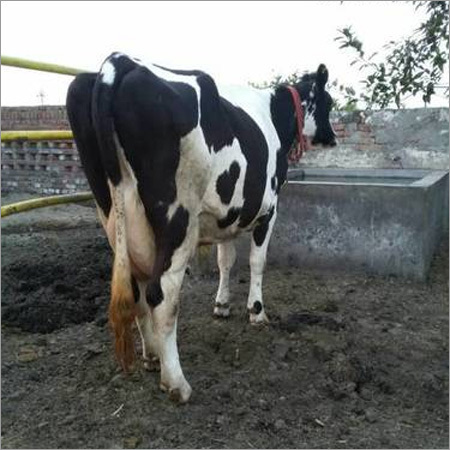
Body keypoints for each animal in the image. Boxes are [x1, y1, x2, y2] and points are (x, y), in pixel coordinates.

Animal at [65, 52, 336, 404]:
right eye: (329, 102)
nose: (333, 137)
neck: (274, 116)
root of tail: (120, 61)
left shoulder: (226, 215)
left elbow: (226, 260)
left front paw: (222, 305)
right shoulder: (269, 210)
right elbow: (257, 262)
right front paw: (257, 312)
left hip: (115, 214)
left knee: (139, 290)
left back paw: (152, 357)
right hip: (176, 220)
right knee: (160, 294)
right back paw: (176, 383)